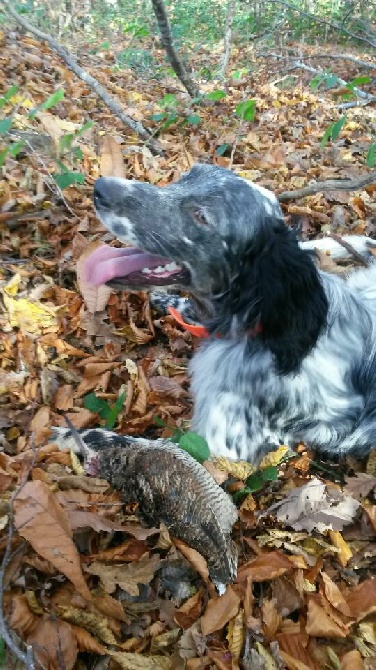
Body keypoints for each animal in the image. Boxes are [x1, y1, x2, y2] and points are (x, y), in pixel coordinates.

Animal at [84, 165, 376, 464]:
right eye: (186, 176)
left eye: (201, 216)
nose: (101, 188)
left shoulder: (221, 448)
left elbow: (150, 448)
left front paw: (87, 438)